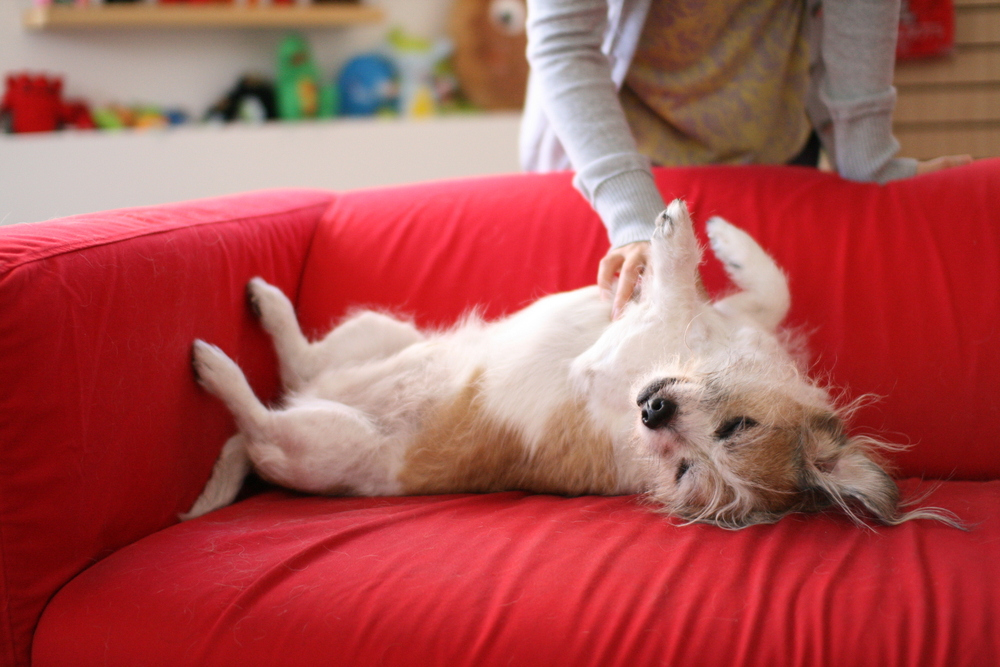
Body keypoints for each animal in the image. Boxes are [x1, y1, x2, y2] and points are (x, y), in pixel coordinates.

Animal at [184, 201, 956, 528]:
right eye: (738, 425)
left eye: (689, 470)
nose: (653, 410)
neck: (689, 352)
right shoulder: (736, 320)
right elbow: (771, 288)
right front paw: (723, 238)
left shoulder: (611, 356)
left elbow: (675, 293)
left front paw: (678, 245)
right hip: (379, 331)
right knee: (298, 360)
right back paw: (269, 303)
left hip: (323, 439)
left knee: (259, 418)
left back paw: (218, 366)